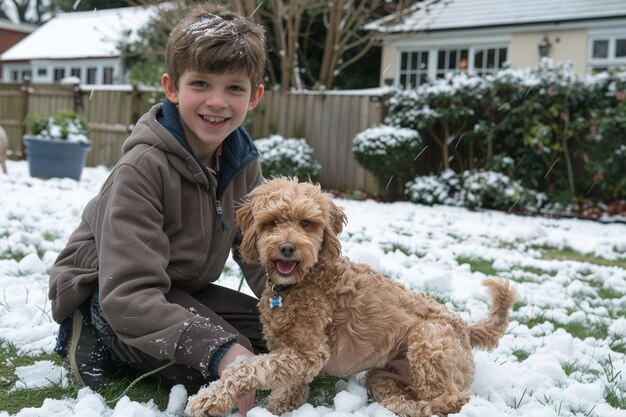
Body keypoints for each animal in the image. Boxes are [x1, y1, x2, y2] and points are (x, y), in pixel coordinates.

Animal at [186, 176, 516, 416]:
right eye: (272, 222)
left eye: (306, 223)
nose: (287, 248)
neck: (303, 281)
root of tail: (465, 327)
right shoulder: (293, 352)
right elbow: (286, 384)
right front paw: (279, 407)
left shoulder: (309, 352)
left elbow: (249, 367)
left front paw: (209, 399)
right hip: (384, 374)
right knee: (405, 396)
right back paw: (405, 407)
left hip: (428, 339)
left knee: (454, 398)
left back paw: (430, 407)